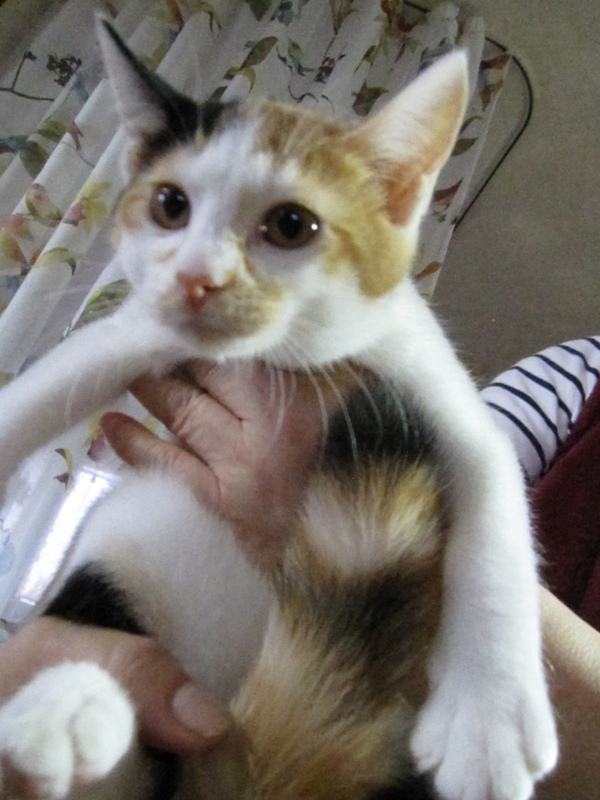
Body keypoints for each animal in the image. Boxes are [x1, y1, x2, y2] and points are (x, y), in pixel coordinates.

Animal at [0, 18, 557, 800]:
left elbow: (494, 492)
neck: (285, 357)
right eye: (170, 206)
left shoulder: (434, 383)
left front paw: (491, 715)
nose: (198, 278)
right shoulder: (139, 331)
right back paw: (67, 711)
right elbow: (48, 386)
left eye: (292, 224)